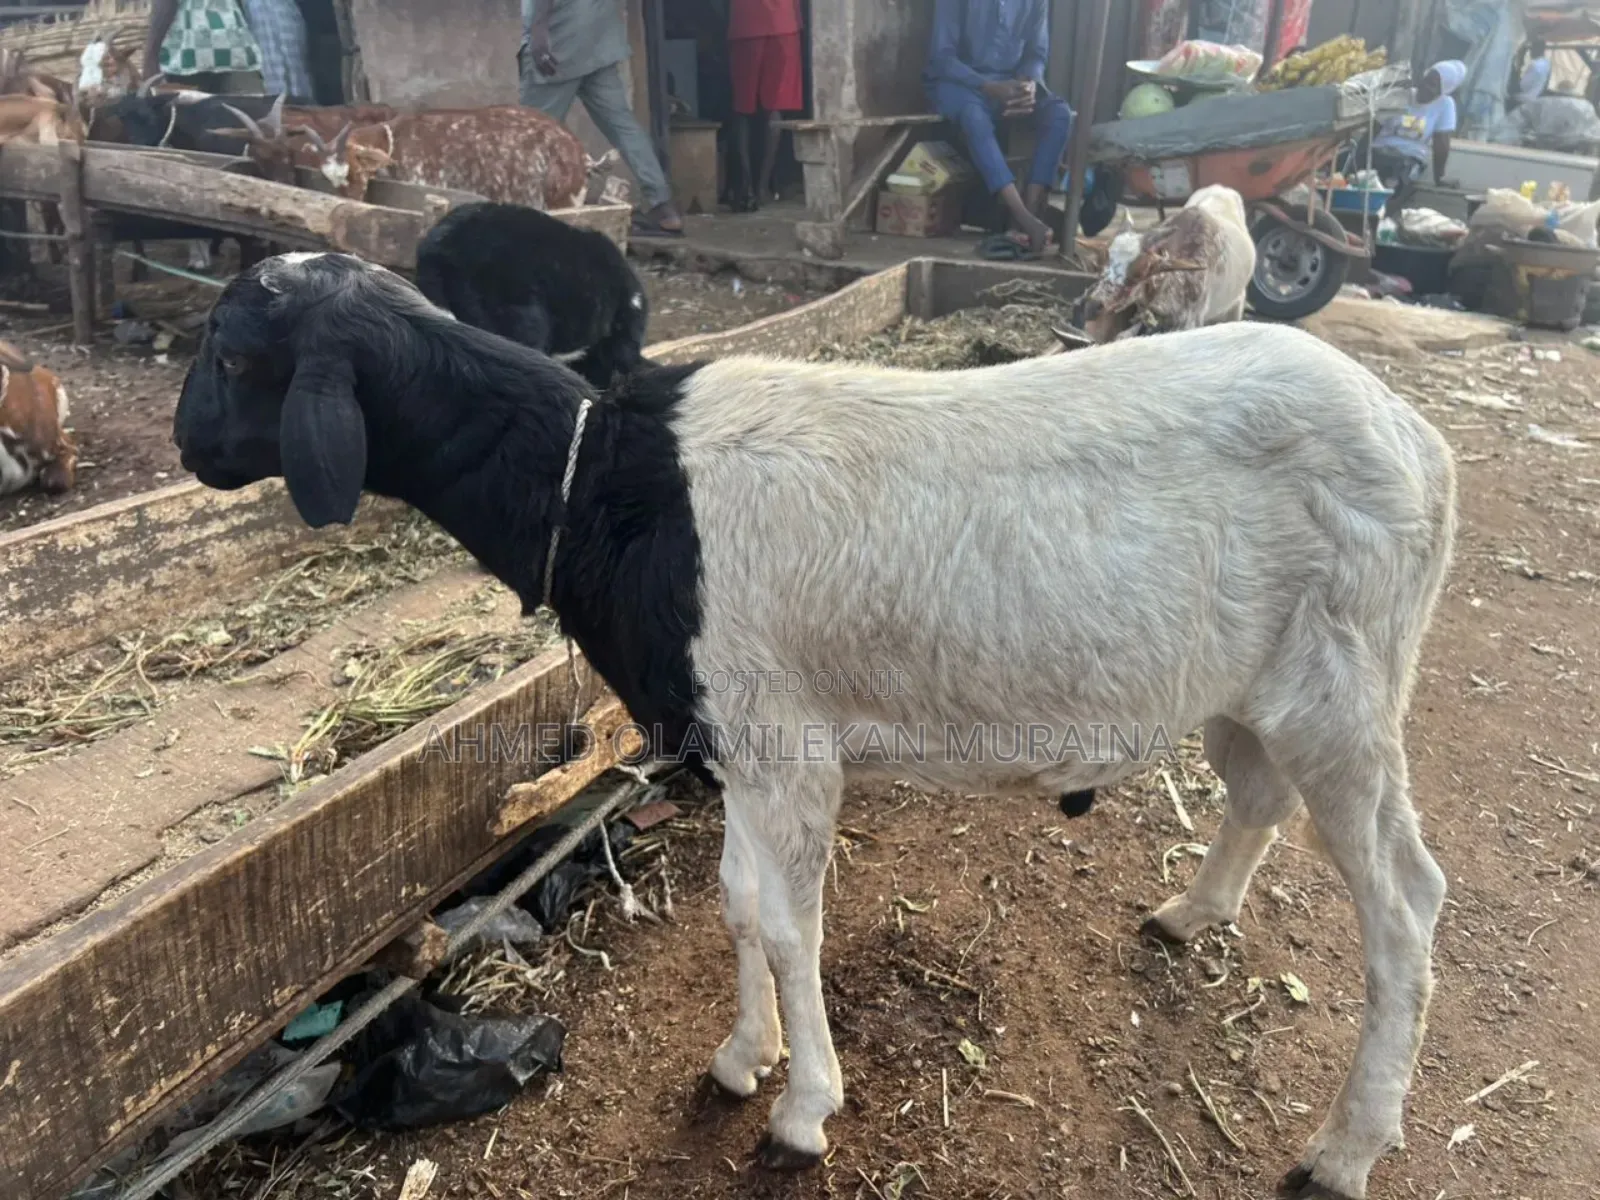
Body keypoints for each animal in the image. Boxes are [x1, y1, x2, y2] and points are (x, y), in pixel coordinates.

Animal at [172, 250, 1458, 1200]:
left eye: (234, 353)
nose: (187, 448)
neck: (608, 484)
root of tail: (1414, 438)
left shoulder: (785, 746)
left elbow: (794, 931)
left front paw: (802, 1111)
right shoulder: (734, 748)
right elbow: (742, 908)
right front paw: (746, 1059)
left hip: (1348, 689)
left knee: (1406, 904)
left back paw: (1345, 1149)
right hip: (1257, 689)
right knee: (1258, 796)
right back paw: (1192, 916)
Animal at [1073, 184, 1258, 343]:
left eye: (1140, 272)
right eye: (1098, 265)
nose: (1092, 306)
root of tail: (1222, 188)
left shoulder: (1190, 322)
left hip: (1236, 303)